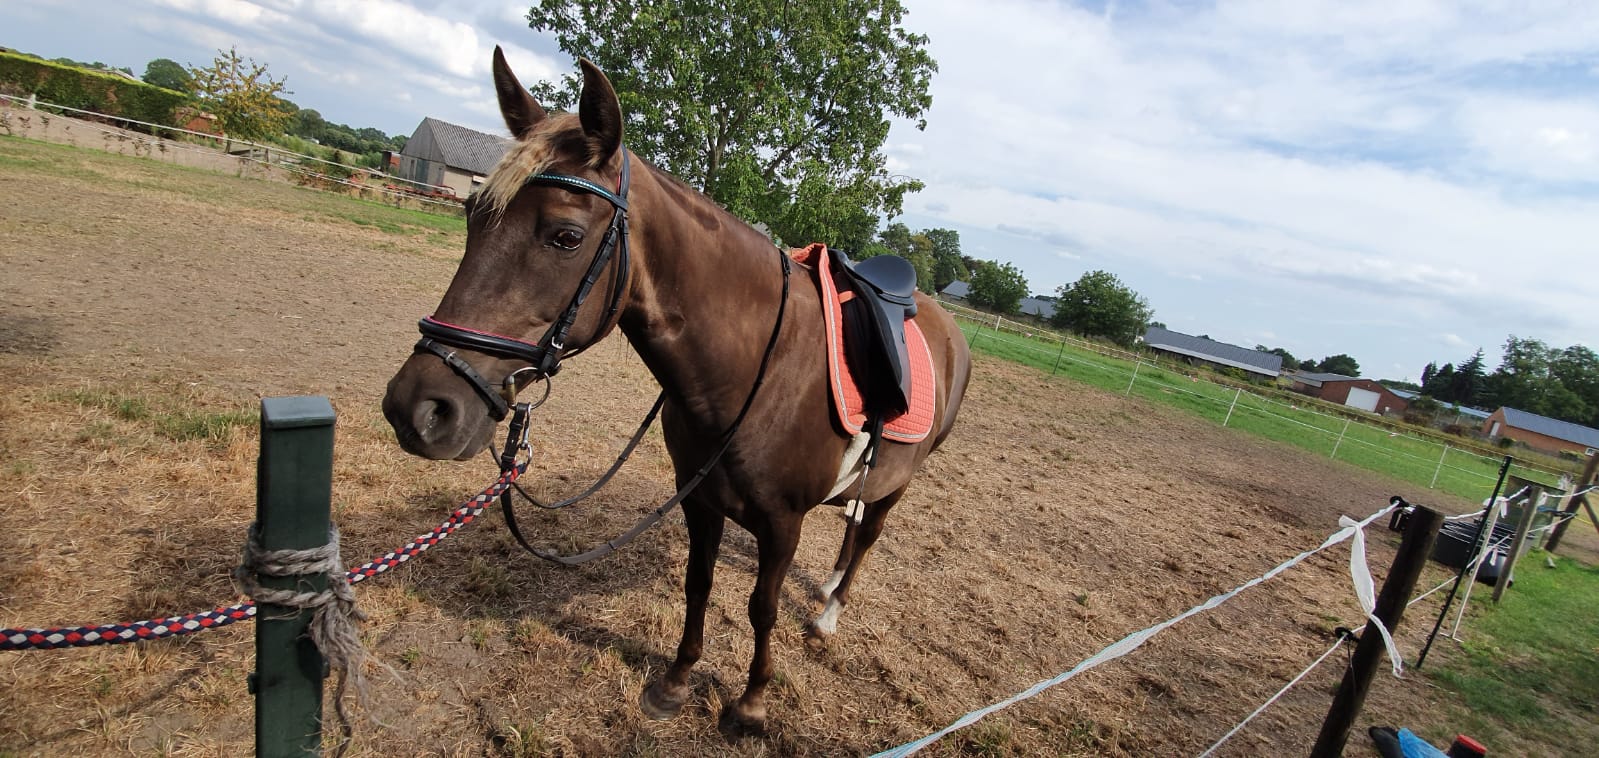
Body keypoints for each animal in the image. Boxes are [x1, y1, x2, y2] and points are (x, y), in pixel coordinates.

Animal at [380, 48, 965, 729]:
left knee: (868, 533)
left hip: (900, 483)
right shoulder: (700, 500)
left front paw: (751, 704)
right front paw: (676, 680)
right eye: (473, 216)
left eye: (565, 237)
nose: (419, 408)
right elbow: (699, 584)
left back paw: (827, 615)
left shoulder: (783, 522)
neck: (752, 374)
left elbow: (762, 607)